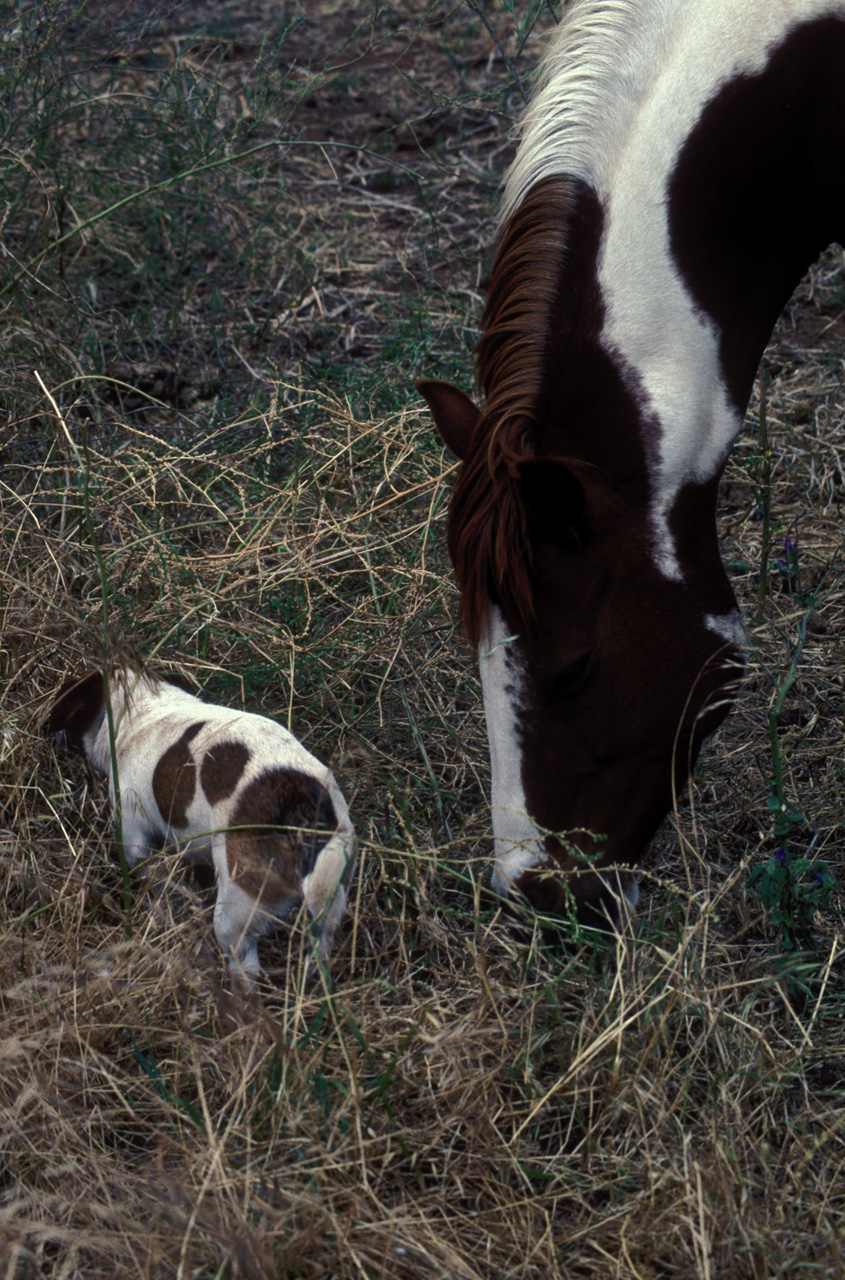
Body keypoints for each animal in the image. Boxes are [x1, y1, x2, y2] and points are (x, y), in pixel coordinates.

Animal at [48, 660, 355, 977]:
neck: (140, 708)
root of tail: (299, 805)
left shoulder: (132, 832)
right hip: (328, 900)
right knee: (319, 948)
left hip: (236, 911)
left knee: (245, 963)